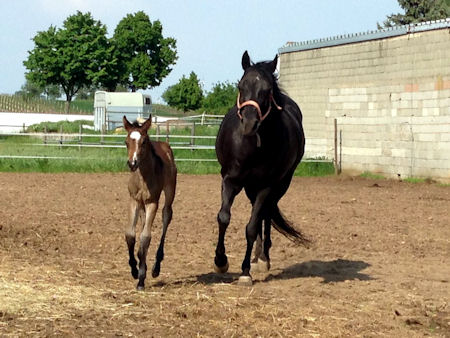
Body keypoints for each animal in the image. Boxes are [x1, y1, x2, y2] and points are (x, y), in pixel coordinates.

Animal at [214, 50, 310, 286]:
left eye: (267, 90)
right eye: (241, 86)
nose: (249, 124)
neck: (252, 147)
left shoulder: (266, 186)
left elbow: (251, 226)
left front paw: (245, 272)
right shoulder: (230, 180)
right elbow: (224, 217)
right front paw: (220, 261)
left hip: (279, 185)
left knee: (264, 214)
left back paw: (262, 257)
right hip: (251, 187)